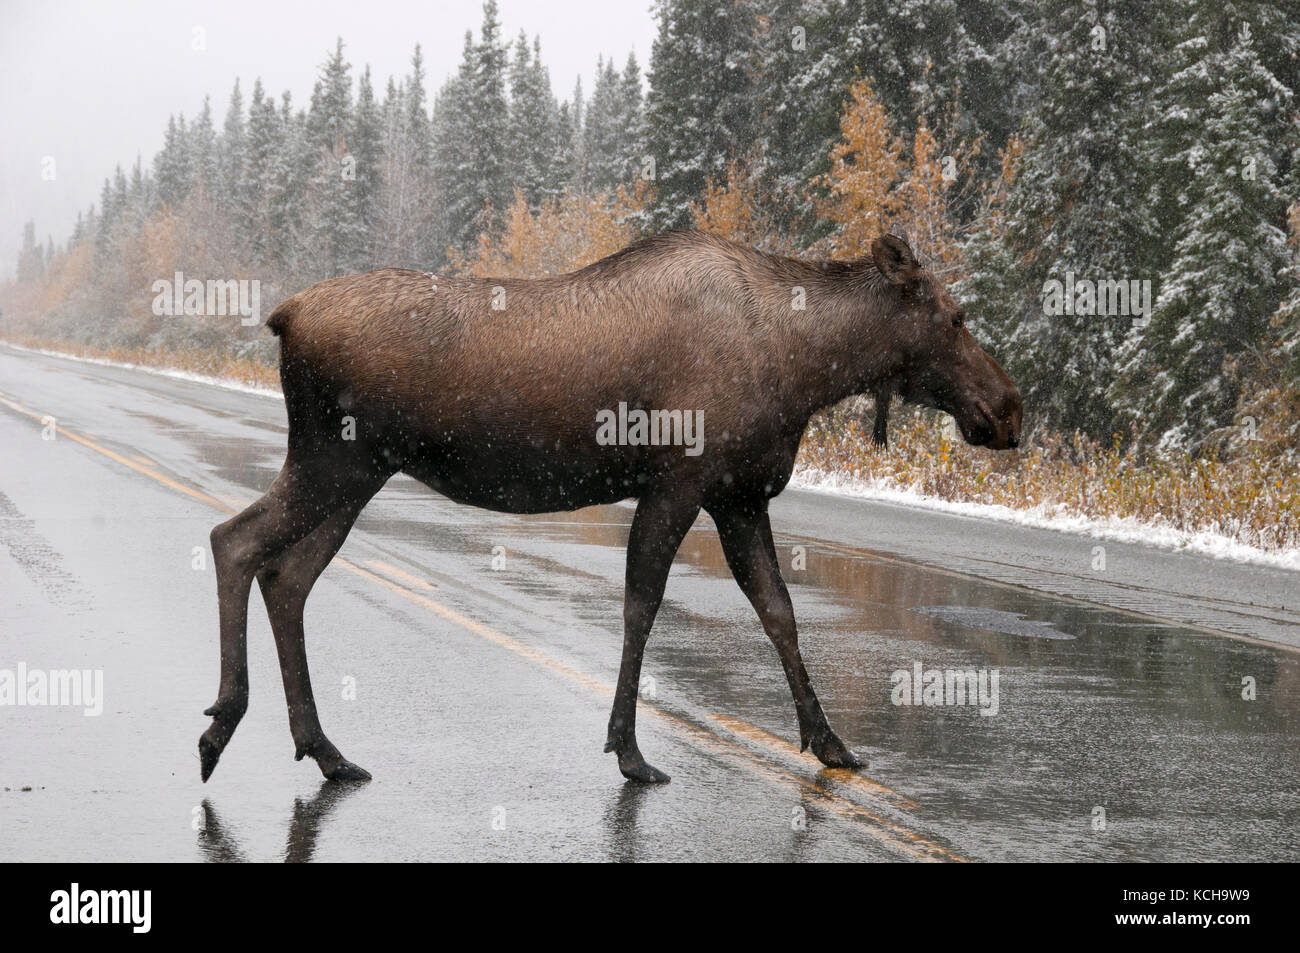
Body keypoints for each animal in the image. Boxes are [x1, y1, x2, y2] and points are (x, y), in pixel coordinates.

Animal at [197, 226, 1019, 785]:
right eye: (955, 316)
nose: (1010, 409)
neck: (805, 368)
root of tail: (281, 316)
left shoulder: (738, 496)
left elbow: (778, 610)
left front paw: (831, 742)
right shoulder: (680, 482)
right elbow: (641, 604)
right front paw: (629, 750)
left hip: (355, 475)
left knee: (287, 576)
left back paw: (325, 750)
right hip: (333, 463)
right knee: (233, 539)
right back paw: (222, 726)